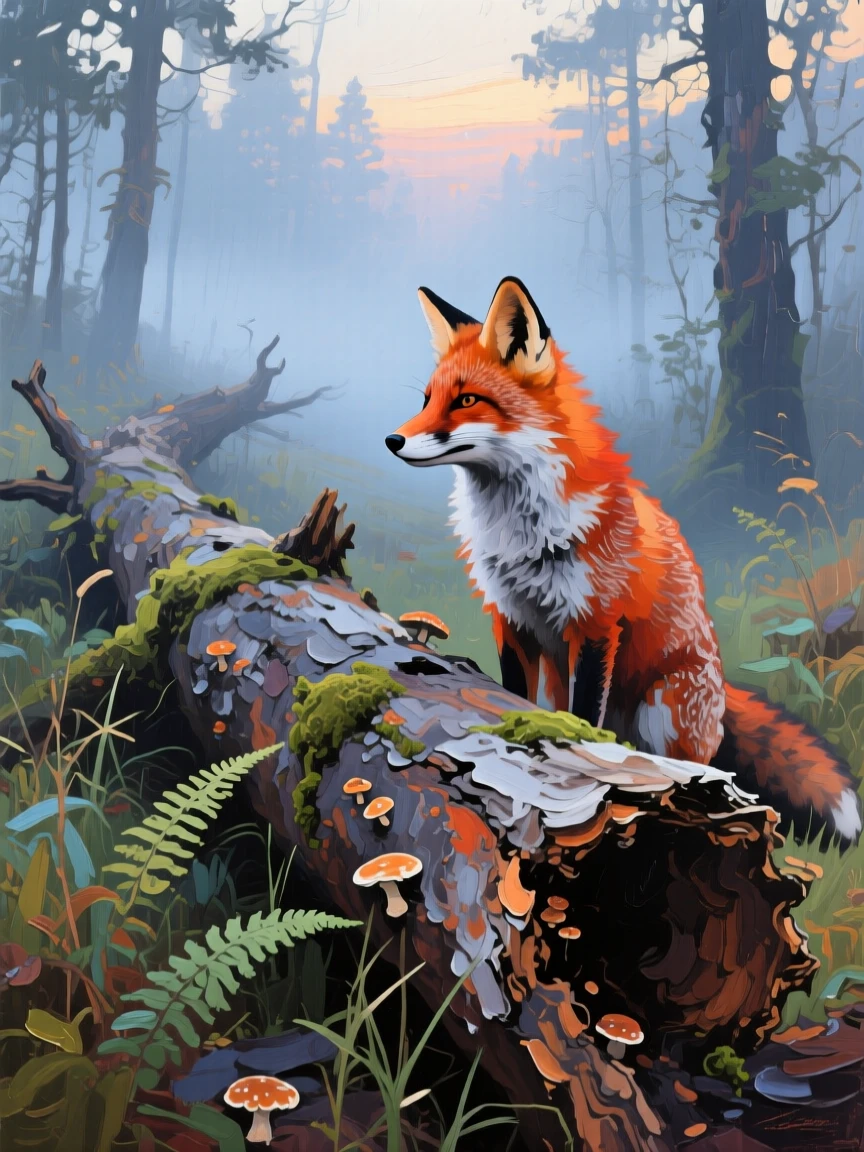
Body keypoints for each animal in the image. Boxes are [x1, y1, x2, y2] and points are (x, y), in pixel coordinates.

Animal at [385, 276, 861, 841]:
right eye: (427, 400)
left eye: (466, 401)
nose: (392, 439)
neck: (523, 533)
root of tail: (722, 684)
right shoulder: (511, 618)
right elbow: (511, 696)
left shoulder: (594, 623)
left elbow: (584, 717)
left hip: (665, 708)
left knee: (694, 767)